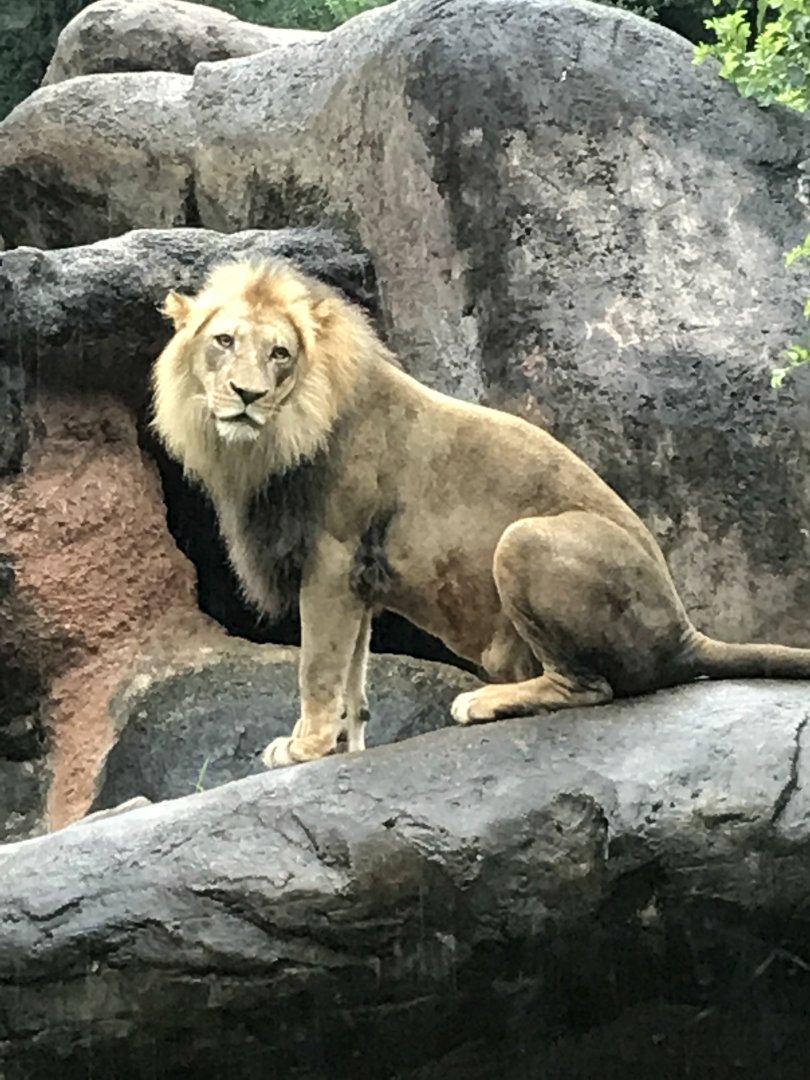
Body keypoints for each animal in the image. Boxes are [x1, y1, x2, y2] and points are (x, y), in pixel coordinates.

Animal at [151, 259, 810, 768]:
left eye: (280, 353)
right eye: (224, 342)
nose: (247, 396)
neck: (267, 445)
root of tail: (683, 631)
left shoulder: (333, 560)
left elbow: (318, 666)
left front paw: (303, 748)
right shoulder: (358, 578)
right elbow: (353, 676)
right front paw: (341, 745)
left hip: (524, 540)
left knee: (590, 686)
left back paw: (484, 702)